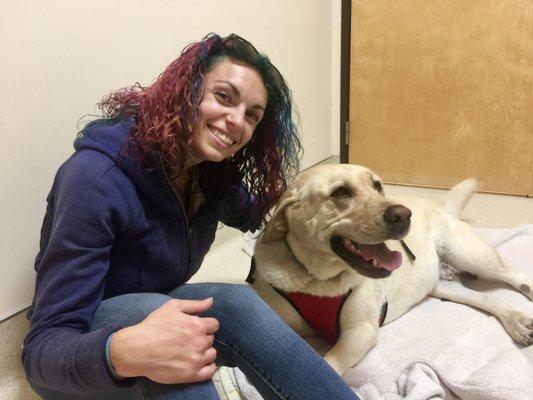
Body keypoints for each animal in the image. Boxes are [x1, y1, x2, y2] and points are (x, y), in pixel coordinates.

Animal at [249, 162, 532, 376]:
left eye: (377, 185)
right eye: (341, 192)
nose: (403, 215)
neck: (318, 280)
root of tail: (440, 206)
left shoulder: (360, 332)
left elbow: (328, 364)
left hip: (468, 253)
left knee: (517, 275)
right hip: (443, 286)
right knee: (491, 301)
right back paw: (517, 322)